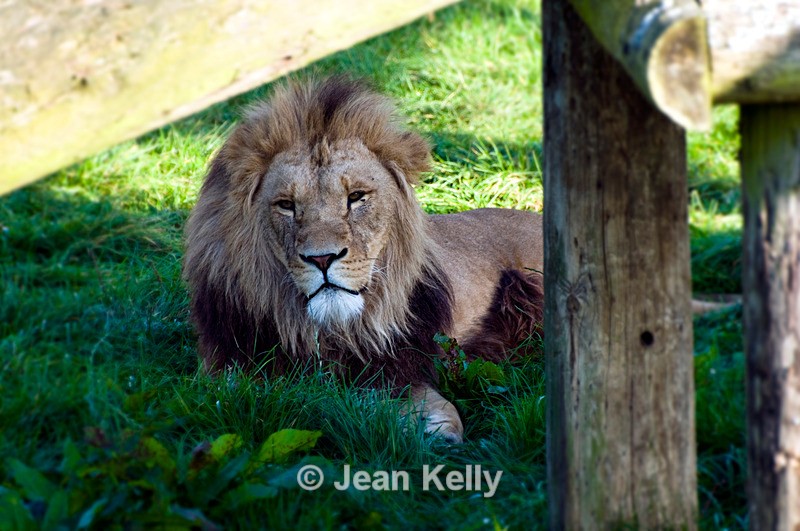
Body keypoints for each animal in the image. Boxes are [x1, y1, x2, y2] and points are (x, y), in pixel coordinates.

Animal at [184, 76, 543, 443]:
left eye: (356, 197)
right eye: (286, 205)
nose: (323, 258)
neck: (331, 333)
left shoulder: (396, 365)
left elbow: (437, 409)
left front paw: (436, 435)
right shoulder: (225, 366)